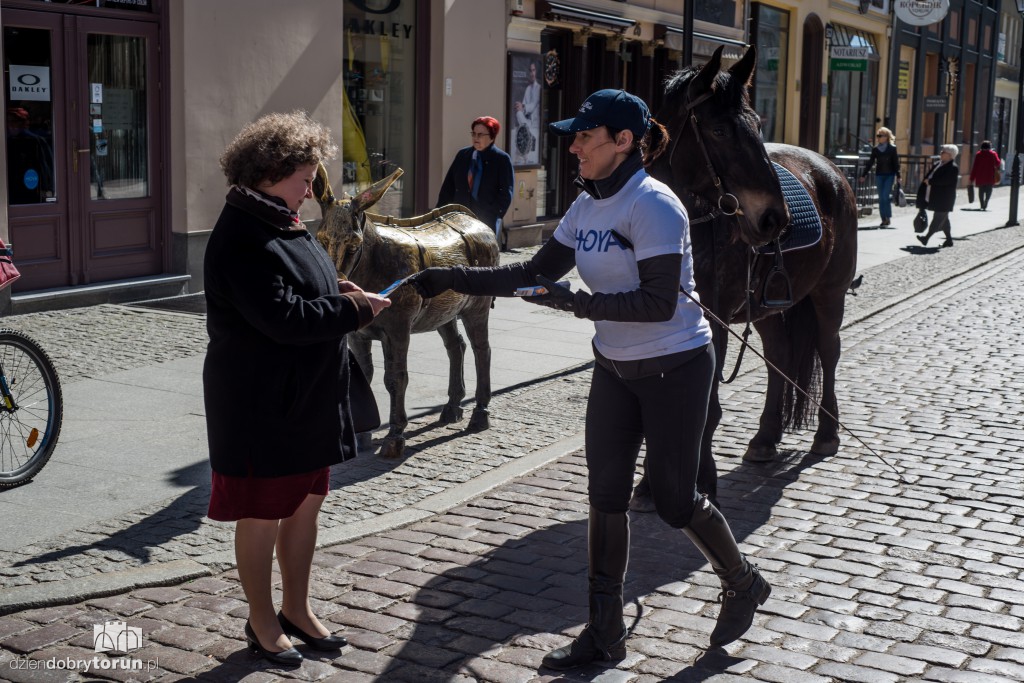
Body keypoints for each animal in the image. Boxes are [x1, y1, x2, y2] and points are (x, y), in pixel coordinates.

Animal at [638, 42, 856, 501]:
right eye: (719, 130)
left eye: (757, 125)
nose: (775, 218)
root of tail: (829, 168)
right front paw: (651, 483)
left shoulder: (713, 320)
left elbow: (705, 407)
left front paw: (700, 480)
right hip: (772, 308)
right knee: (779, 358)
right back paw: (765, 439)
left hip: (830, 295)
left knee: (829, 351)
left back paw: (827, 433)